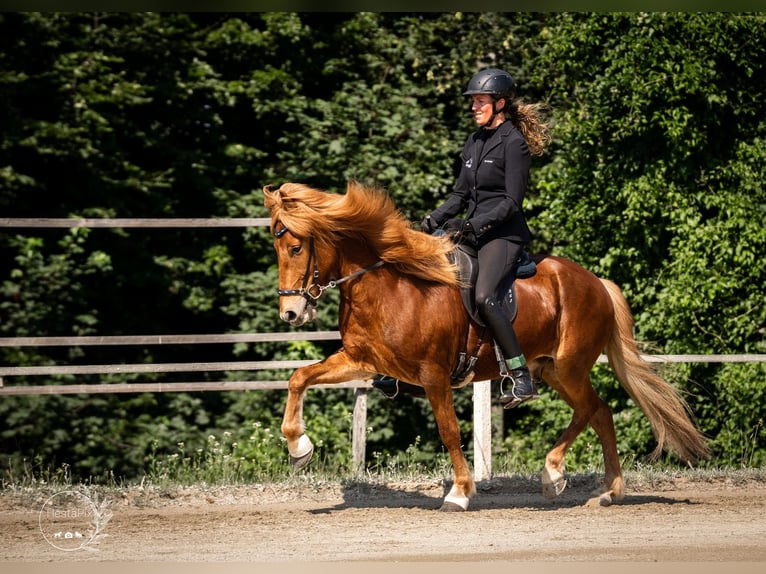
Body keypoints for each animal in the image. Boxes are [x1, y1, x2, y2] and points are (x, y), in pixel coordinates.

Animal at [263, 181, 710, 511]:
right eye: (277, 248)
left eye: (296, 247)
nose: (291, 314)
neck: (391, 287)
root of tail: (597, 282)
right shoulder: (362, 361)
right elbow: (299, 378)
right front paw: (298, 447)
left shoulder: (434, 374)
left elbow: (448, 430)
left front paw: (460, 492)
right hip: (550, 369)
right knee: (599, 412)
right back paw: (606, 491)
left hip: (569, 367)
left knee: (590, 410)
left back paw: (555, 475)